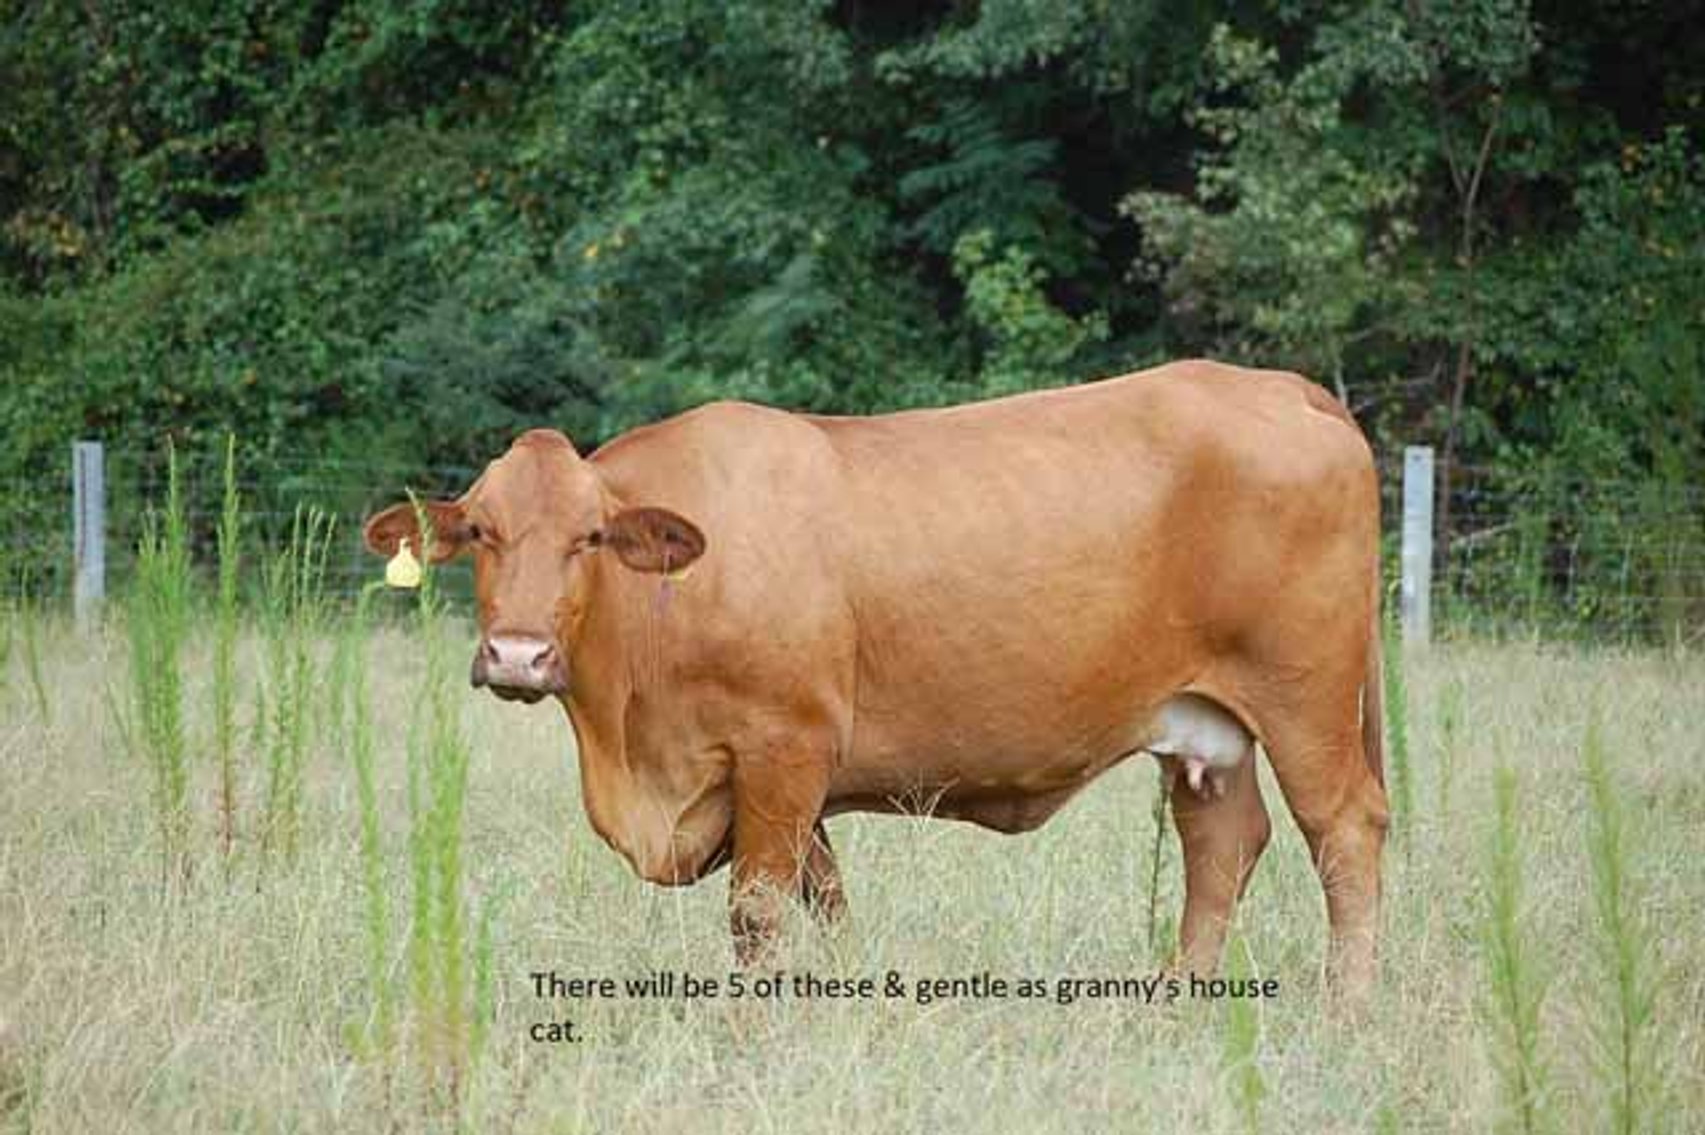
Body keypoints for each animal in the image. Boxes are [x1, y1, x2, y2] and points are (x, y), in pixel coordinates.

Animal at [362, 359, 1390, 994]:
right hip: (1203, 726)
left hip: (1306, 700)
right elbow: (826, 903)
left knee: (1342, 834)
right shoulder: (783, 785)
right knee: (1221, 842)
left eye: (588, 537)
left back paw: (1344, 1011)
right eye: (482, 530)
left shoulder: (783, 747)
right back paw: (1177, 997)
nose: (518, 654)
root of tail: (1278, 384)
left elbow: (758, 914)